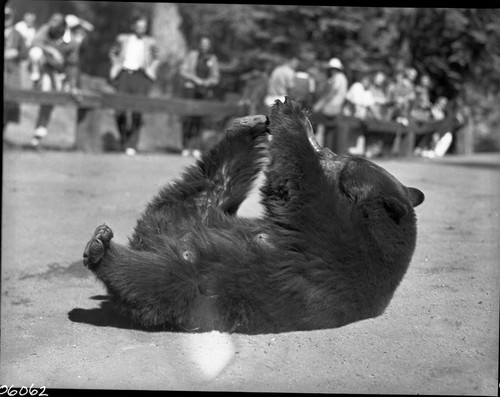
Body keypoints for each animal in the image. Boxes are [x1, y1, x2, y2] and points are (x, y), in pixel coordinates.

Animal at [83, 97, 426, 332]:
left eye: (347, 160)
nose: (328, 149)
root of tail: (152, 240)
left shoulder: (338, 239)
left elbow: (298, 187)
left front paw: (292, 114)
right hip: (195, 213)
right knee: (211, 180)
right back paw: (248, 126)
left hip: (204, 283)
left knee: (149, 279)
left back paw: (102, 249)